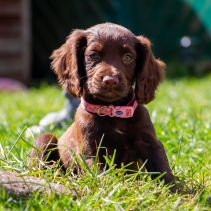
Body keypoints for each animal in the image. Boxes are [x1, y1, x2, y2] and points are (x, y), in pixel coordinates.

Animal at [31, 22, 176, 191]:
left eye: (128, 57)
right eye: (94, 55)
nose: (111, 80)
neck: (113, 111)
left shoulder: (150, 141)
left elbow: (162, 167)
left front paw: (176, 191)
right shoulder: (90, 150)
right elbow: (101, 173)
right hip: (44, 140)